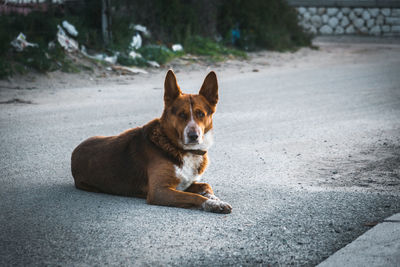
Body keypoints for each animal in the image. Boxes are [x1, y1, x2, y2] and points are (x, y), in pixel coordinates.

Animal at [71, 70, 231, 215]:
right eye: (181, 114)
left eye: (200, 114)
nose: (193, 136)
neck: (175, 145)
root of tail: (76, 149)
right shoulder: (159, 191)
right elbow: (194, 197)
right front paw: (212, 204)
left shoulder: (185, 184)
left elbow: (206, 186)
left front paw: (216, 200)